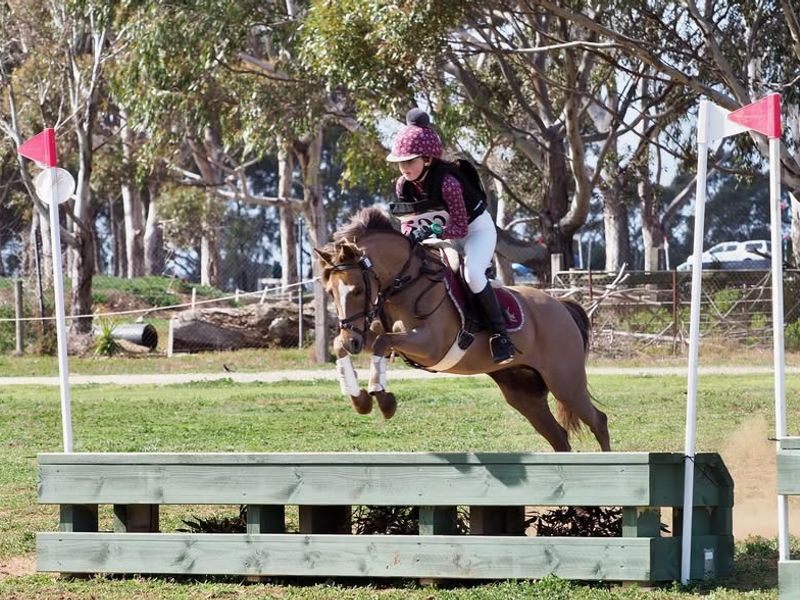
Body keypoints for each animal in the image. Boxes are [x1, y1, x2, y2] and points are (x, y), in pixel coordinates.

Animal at [314, 207, 609, 452]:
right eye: (329, 292)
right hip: (523, 391)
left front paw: (382, 400)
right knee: (559, 437)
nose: (352, 340)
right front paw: (360, 400)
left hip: (565, 382)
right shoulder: (371, 331)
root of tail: (561, 307)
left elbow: (382, 342)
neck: (405, 284)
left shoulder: (430, 346)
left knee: (599, 421)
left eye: (358, 290)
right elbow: (348, 345)